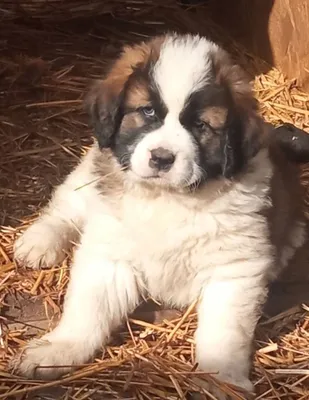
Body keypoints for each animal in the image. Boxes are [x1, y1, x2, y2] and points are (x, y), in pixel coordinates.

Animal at [12, 33, 308, 396]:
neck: (169, 198)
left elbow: (224, 334)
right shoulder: (110, 255)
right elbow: (88, 309)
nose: (162, 158)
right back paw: (39, 242)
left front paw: (224, 379)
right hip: (87, 177)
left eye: (200, 125)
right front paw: (59, 349)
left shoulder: (234, 270)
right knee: (66, 205)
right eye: (148, 111)